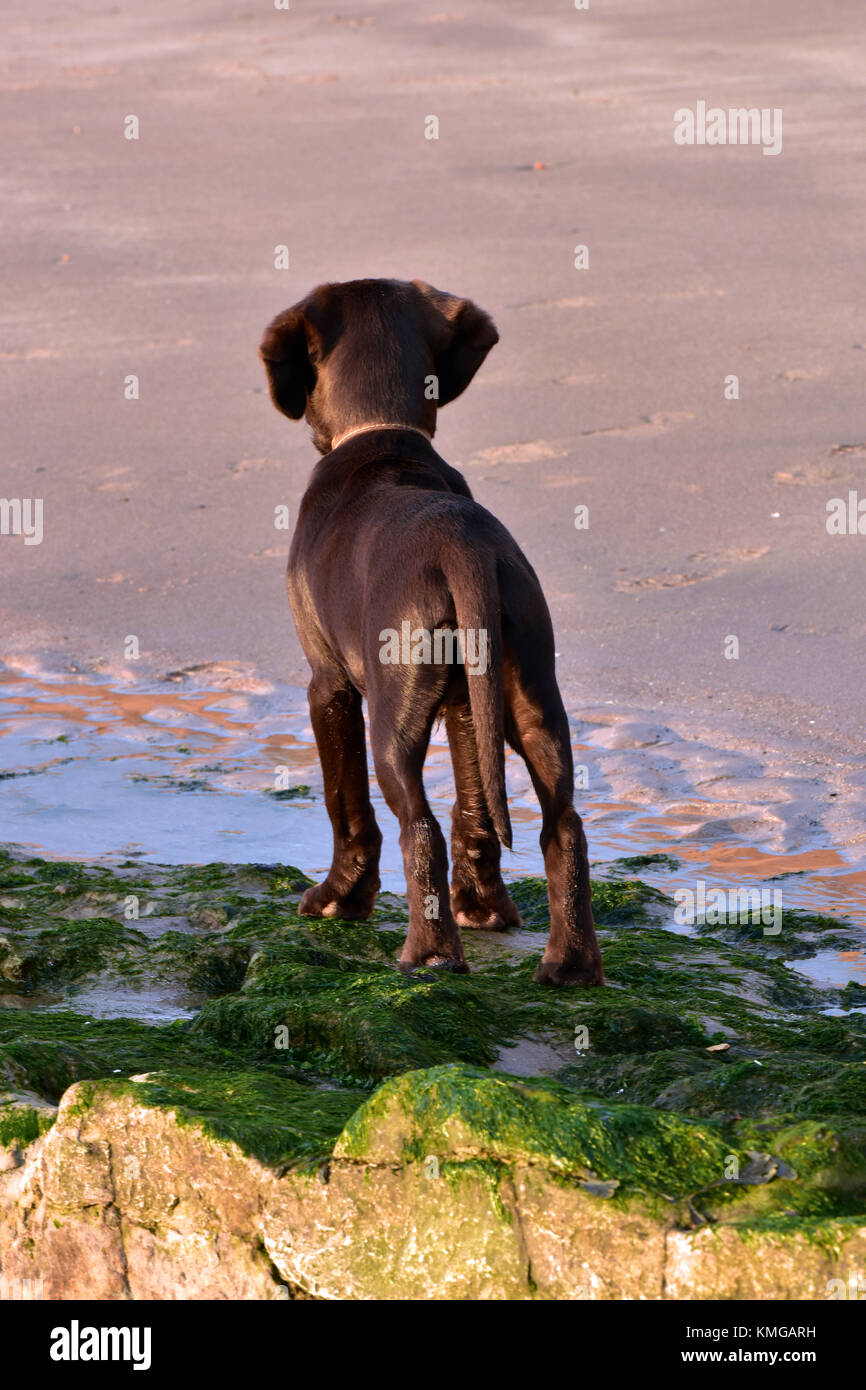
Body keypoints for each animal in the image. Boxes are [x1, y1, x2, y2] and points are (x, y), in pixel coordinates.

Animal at [258, 273, 603, 989]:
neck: (383, 435)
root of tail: (463, 545)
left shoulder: (327, 683)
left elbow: (345, 803)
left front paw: (338, 900)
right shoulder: (470, 702)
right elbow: (476, 803)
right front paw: (486, 909)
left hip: (395, 714)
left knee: (417, 823)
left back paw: (429, 956)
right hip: (533, 699)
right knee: (563, 826)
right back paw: (570, 964)